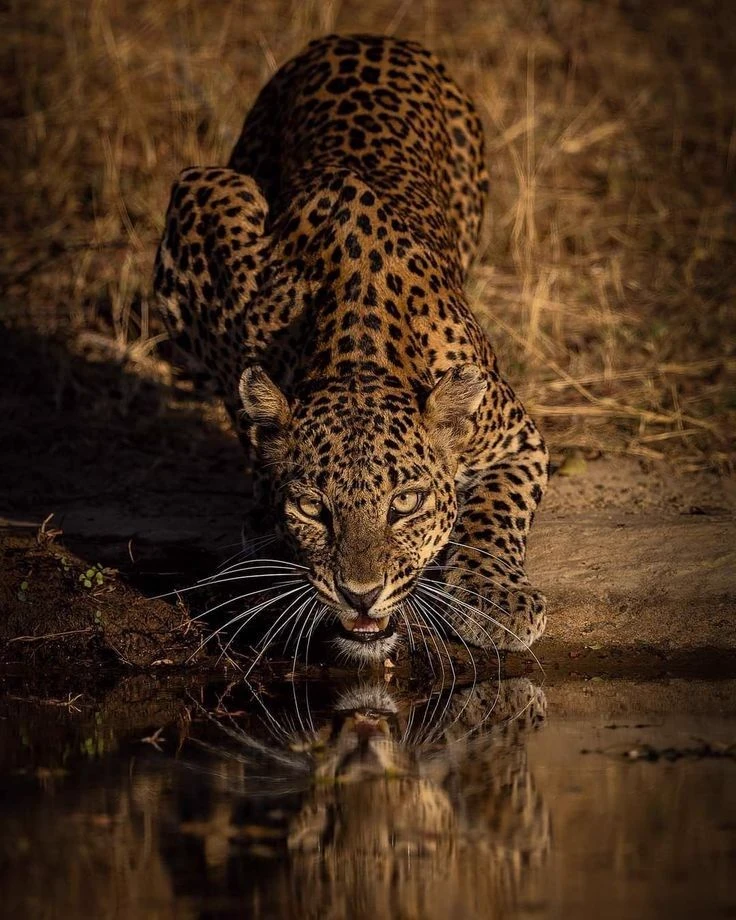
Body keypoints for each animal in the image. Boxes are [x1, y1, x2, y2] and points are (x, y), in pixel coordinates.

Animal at [154, 33, 549, 665]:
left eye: (406, 503)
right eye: (314, 508)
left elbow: (495, 510)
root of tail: (364, 36)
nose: (360, 594)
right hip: (215, 187)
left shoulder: (517, 441)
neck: (358, 346)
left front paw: (495, 597)